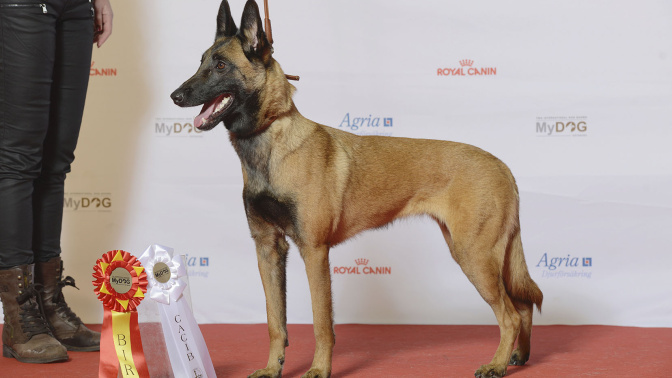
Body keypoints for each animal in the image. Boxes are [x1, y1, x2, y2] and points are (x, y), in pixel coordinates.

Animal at [171, 1, 544, 376]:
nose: (175, 95)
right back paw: (519, 355)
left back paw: (496, 364)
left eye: (220, 65)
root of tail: (503, 166)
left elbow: (322, 322)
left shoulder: (314, 251)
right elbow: (275, 322)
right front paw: (273, 368)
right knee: (524, 306)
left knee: (510, 315)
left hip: (474, 256)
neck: (271, 139)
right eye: (200, 62)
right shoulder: (268, 248)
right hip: (476, 252)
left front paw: (319, 369)